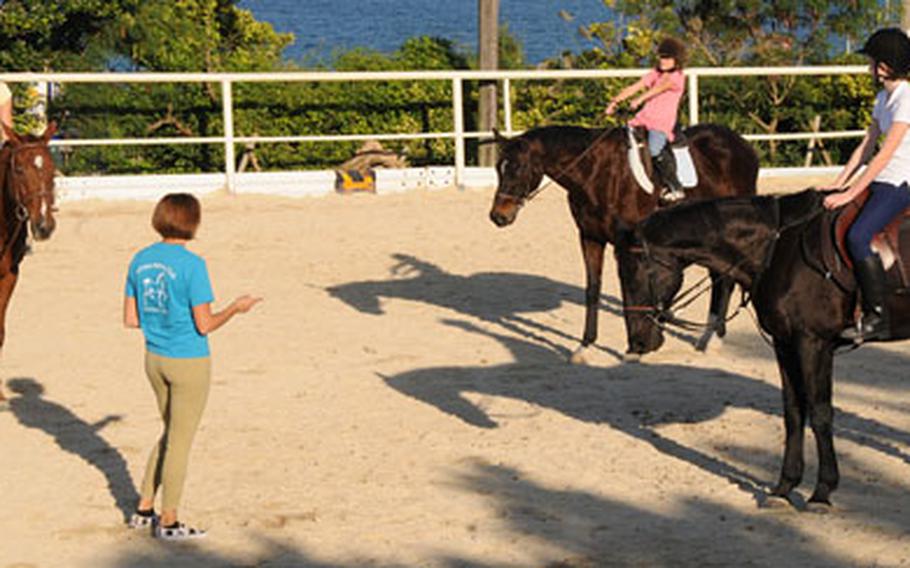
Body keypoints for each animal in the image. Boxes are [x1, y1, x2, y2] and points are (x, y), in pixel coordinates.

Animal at [488, 125, 760, 364]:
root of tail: (742, 144)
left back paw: (713, 337)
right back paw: (708, 335)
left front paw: (635, 349)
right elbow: (593, 289)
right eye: (499, 169)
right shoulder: (590, 237)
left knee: (724, 279)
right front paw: (586, 346)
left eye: (518, 168)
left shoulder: (626, 244)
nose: (498, 216)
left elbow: (629, 287)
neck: (594, 173)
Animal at [612, 191, 910, 506]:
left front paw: (822, 492)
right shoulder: (785, 342)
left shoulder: (813, 343)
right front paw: (784, 487)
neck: (777, 247)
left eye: (634, 271)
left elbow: (819, 412)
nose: (638, 342)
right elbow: (793, 412)